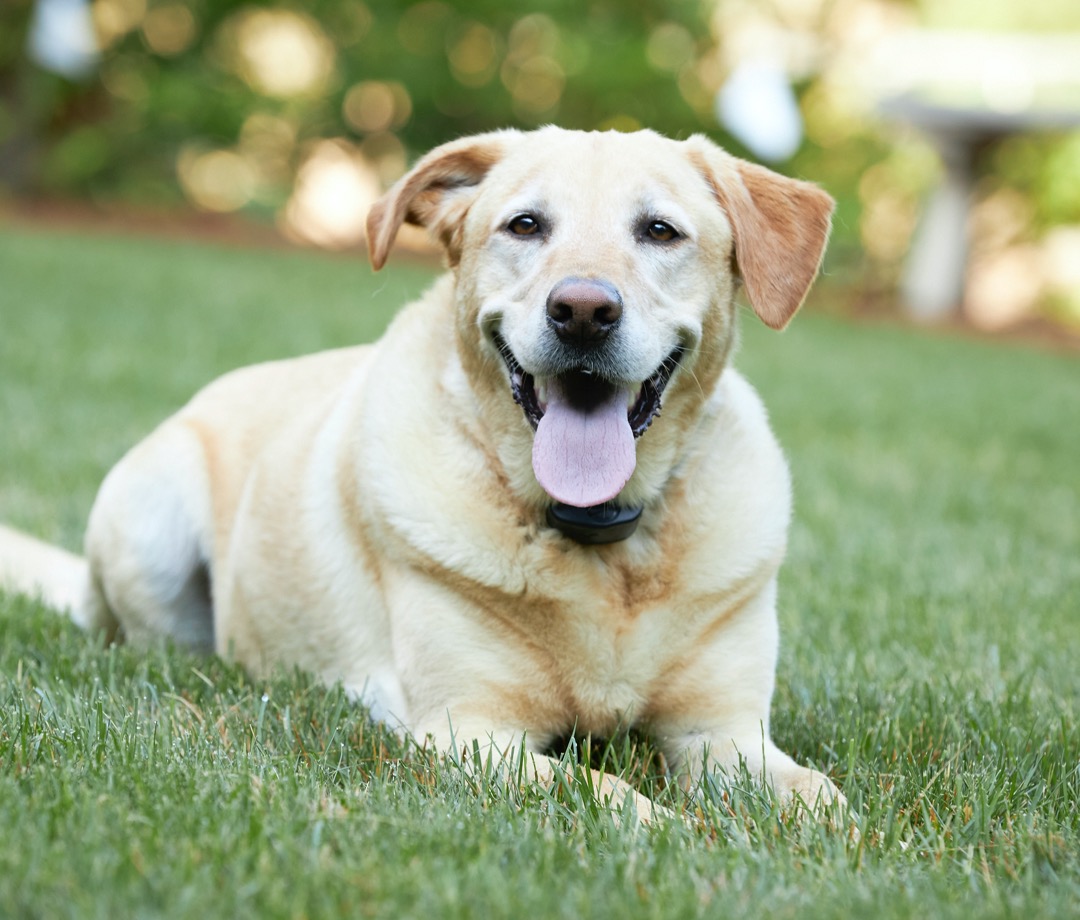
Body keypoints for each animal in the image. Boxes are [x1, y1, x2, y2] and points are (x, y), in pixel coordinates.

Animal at [0, 127, 842, 820]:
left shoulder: (725, 732)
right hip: (151, 523)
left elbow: (821, 799)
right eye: (526, 225)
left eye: (660, 231)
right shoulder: (469, 733)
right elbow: (608, 793)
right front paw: (674, 829)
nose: (581, 311)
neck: (600, 536)